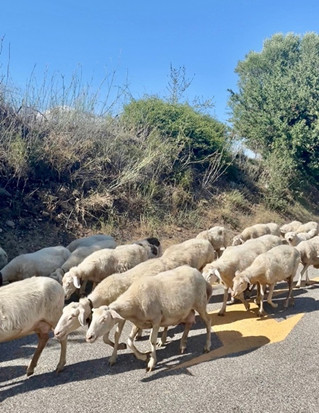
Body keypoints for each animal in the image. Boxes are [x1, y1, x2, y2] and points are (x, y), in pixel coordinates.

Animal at [86, 266, 214, 372]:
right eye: (91, 318)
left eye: (104, 319)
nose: (88, 337)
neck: (135, 300)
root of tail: (197, 272)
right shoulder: (139, 323)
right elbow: (129, 340)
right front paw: (143, 356)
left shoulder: (156, 319)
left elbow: (151, 340)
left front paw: (151, 362)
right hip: (186, 309)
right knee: (189, 322)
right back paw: (182, 344)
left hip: (200, 303)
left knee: (208, 322)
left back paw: (207, 346)